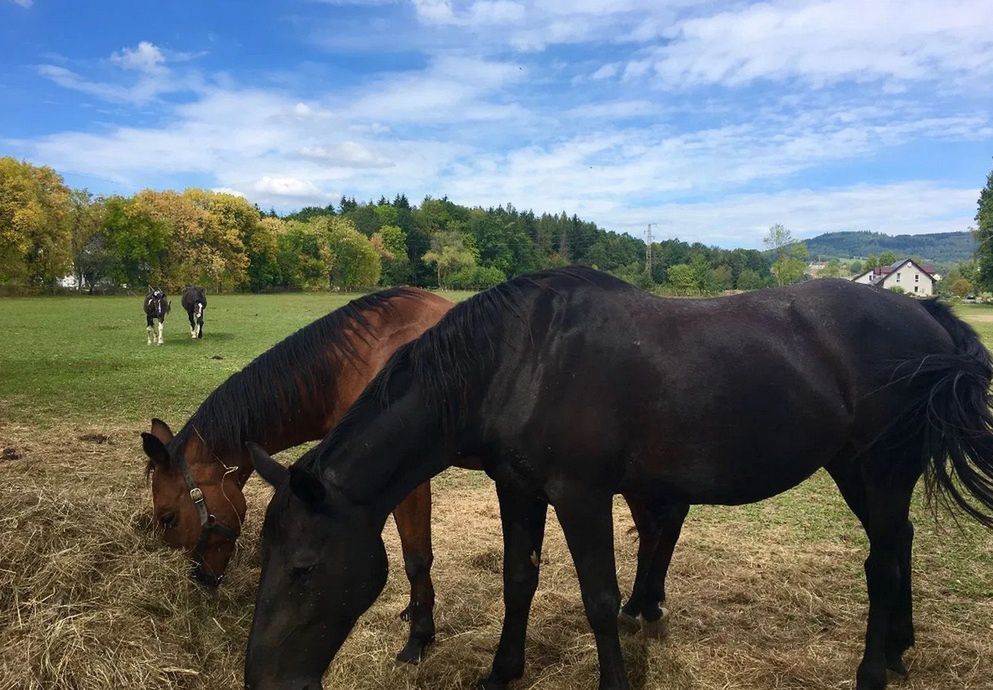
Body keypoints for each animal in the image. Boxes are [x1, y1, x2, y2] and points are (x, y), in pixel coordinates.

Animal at [242, 268, 992, 688]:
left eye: (303, 569)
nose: (264, 681)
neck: (516, 360)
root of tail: (923, 313)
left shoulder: (581, 494)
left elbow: (600, 598)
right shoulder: (517, 488)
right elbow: (518, 580)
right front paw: (501, 674)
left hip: (879, 469)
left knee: (883, 565)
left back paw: (872, 672)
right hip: (857, 471)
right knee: (899, 545)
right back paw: (899, 651)